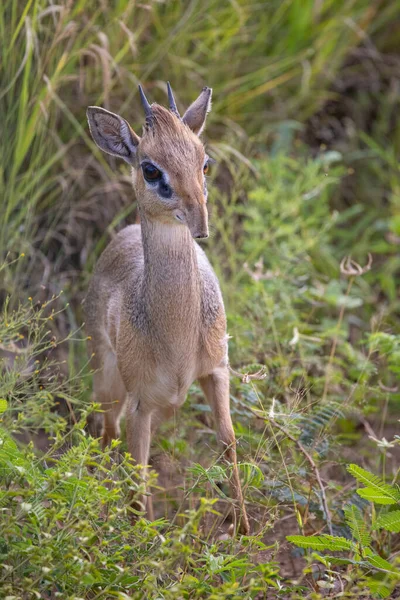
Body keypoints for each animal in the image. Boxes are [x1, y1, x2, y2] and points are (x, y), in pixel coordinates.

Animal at [85, 83, 248, 536]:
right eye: (150, 169)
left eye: (204, 161)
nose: (200, 224)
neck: (175, 339)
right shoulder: (141, 397)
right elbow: (137, 465)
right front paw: (142, 536)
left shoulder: (216, 371)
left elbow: (228, 441)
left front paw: (243, 528)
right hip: (109, 378)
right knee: (110, 431)